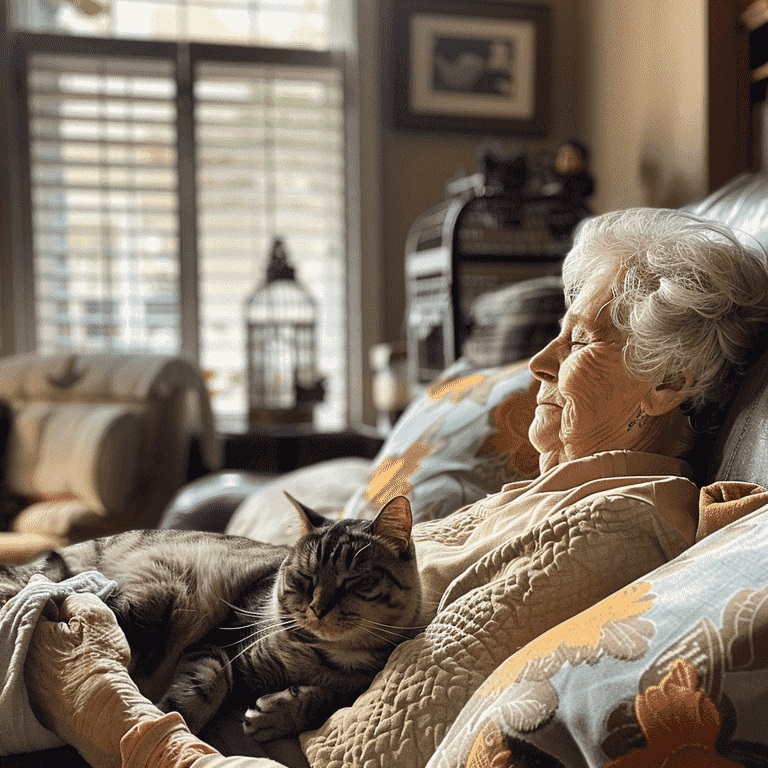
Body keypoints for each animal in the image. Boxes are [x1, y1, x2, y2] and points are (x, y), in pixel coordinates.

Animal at [0, 492, 420, 736]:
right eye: (305, 578)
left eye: (354, 581)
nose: (317, 608)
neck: (326, 656)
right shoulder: (223, 640)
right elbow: (208, 683)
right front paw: (176, 717)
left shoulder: (354, 688)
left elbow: (324, 701)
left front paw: (279, 712)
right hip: (149, 602)